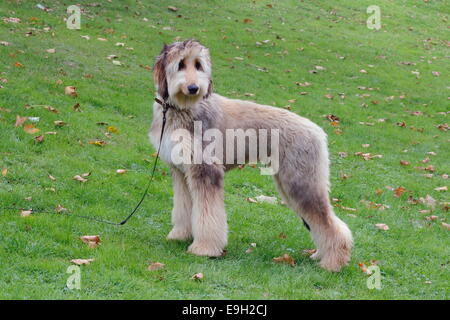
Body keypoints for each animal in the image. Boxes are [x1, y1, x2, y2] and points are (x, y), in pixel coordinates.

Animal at [149, 38, 354, 272]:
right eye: (181, 64)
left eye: (198, 65)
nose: (194, 88)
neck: (182, 110)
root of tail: (318, 131)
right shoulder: (181, 173)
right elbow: (183, 208)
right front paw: (180, 235)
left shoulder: (206, 171)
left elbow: (208, 215)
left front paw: (204, 248)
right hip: (290, 184)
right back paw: (321, 255)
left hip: (301, 183)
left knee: (328, 222)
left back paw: (333, 262)